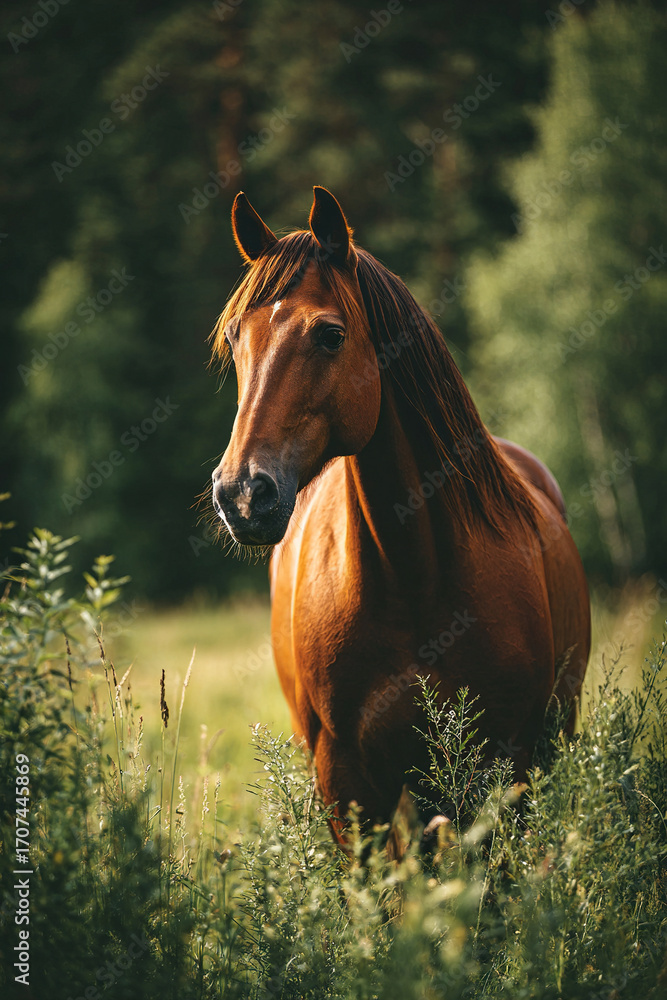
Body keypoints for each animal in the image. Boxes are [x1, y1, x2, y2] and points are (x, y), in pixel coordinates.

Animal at [210, 186, 590, 844]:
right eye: (235, 337)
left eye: (330, 334)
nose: (241, 495)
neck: (414, 574)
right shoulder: (345, 781)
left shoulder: (508, 765)